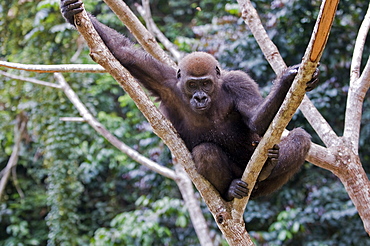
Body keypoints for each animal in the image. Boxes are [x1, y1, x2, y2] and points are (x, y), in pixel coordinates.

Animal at [60, 0, 318, 200]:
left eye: (205, 84)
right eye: (192, 85)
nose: (200, 97)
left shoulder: (238, 81)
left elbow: (256, 120)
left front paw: (286, 80)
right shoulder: (166, 82)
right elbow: (123, 52)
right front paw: (70, 12)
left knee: (300, 138)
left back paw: (267, 169)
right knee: (206, 152)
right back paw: (230, 190)